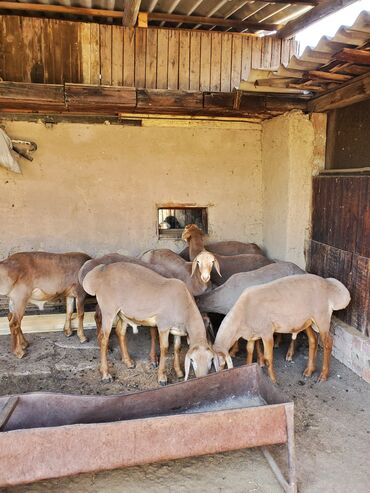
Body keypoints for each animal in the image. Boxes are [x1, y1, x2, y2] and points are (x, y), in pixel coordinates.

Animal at [82, 262, 215, 384]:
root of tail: (99, 272)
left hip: (122, 313)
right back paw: (105, 374)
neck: (185, 306)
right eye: (192, 361)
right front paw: (162, 377)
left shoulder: (177, 329)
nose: (202, 378)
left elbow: (177, 348)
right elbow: (165, 348)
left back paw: (128, 362)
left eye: (211, 361)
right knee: (103, 338)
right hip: (108, 309)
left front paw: (179, 372)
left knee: (120, 332)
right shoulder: (163, 325)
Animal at [212, 274, 352, 382]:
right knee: (313, 340)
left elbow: (268, 358)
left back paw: (323, 375)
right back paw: (309, 370)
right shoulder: (253, 333)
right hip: (307, 320)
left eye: (214, 360)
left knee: (328, 343)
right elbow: (249, 351)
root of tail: (330, 285)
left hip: (321, 318)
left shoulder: (267, 332)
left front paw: (273, 380)